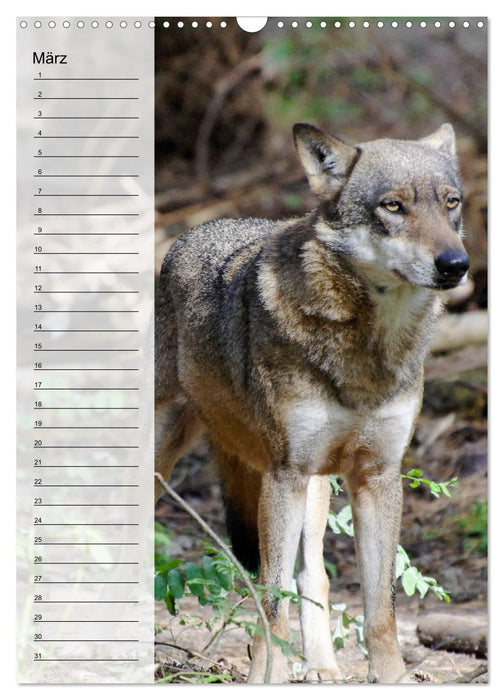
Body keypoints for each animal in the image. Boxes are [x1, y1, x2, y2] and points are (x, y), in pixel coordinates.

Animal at [155, 122, 469, 683]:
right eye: (393, 206)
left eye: (450, 203)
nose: (456, 265)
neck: (367, 350)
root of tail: (193, 232)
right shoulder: (286, 474)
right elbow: (273, 601)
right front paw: (268, 678)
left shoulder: (376, 477)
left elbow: (381, 612)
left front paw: (391, 680)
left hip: (317, 487)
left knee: (314, 577)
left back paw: (321, 666)